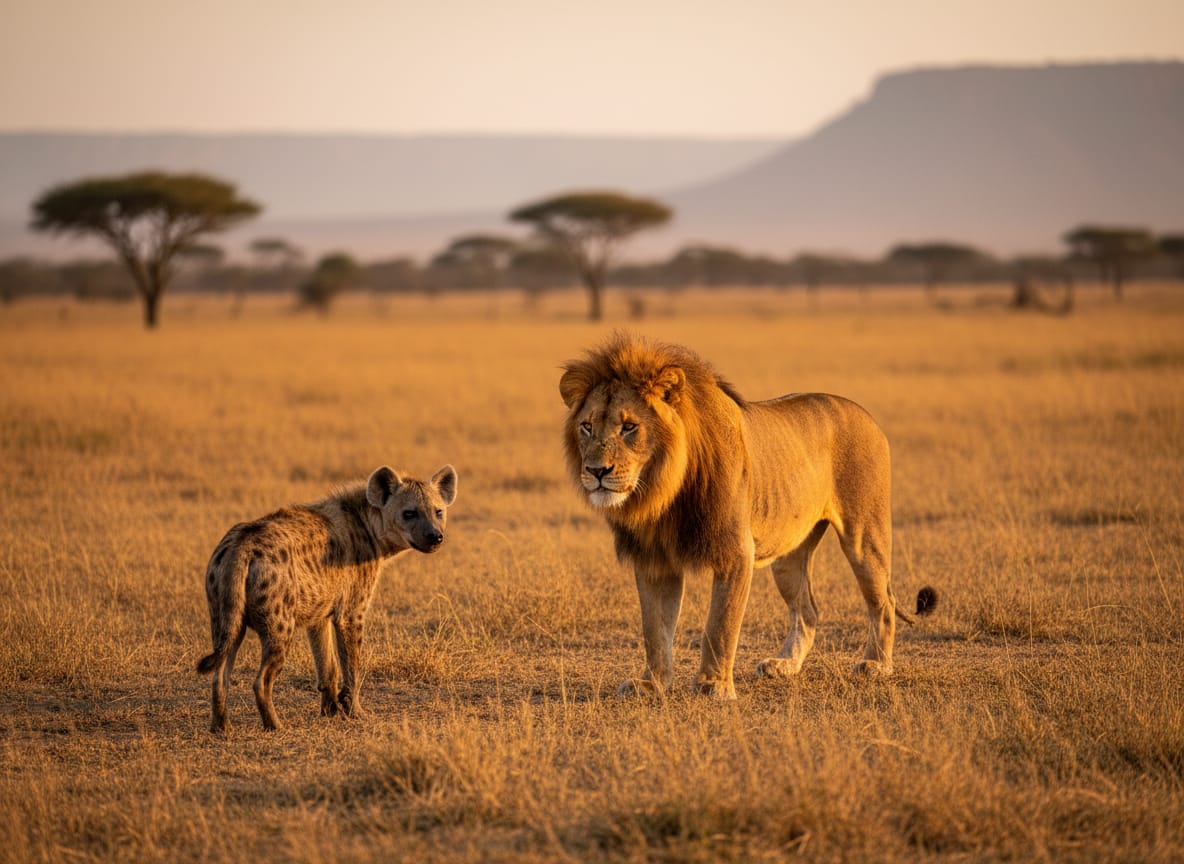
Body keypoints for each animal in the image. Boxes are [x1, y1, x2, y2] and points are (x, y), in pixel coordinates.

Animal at [559, 333, 934, 699]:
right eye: (587, 426)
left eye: (629, 427)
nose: (596, 471)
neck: (661, 493)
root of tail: (865, 414)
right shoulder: (654, 560)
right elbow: (655, 629)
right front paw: (652, 683)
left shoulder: (736, 553)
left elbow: (719, 625)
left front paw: (713, 685)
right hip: (788, 556)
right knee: (808, 611)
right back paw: (785, 665)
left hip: (864, 536)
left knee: (883, 602)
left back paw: (876, 665)